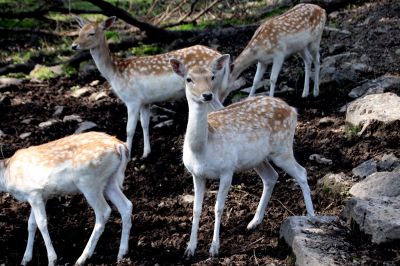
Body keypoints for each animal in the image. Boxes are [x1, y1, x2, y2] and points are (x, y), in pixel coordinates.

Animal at [0, 132, 133, 266]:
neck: (7, 176)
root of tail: (120, 145)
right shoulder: (40, 196)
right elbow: (31, 224)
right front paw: (25, 259)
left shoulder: (33, 192)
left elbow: (41, 223)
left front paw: (52, 260)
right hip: (109, 181)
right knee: (126, 205)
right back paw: (122, 254)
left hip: (89, 182)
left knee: (104, 211)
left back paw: (82, 258)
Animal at [71, 16, 228, 158]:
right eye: (79, 31)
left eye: (91, 33)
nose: (73, 45)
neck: (115, 73)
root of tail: (223, 58)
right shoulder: (144, 101)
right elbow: (145, 124)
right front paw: (146, 153)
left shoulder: (132, 100)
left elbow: (129, 129)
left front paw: (129, 155)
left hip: (211, 91)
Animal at [170, 56, 318, 258]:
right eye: (188, 79)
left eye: (212, 76)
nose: (207, 95)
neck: (202, 149)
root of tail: (293, 109)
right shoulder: (196, 174)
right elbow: (196, 209)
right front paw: (190, 249)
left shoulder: (227, 169)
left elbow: (218, 208)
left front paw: (214, 249)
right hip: (258, 158)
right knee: (271, 177)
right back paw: (254, 222)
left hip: (282, 148)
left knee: (302, 172)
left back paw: (312, 218)